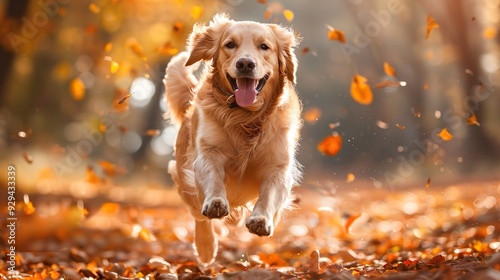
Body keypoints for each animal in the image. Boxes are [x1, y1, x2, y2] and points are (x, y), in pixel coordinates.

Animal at [166, 14, 302, 264]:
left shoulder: (278, 166)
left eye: (264, 46)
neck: (246, 117)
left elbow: (269, 194)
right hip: (184, 177)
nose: (245, 64)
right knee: (199, 216)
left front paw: (261, 219)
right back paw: (206, 246)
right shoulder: (207, 155)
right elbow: (214, 181)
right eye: (230, 44)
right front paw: (216, 203)